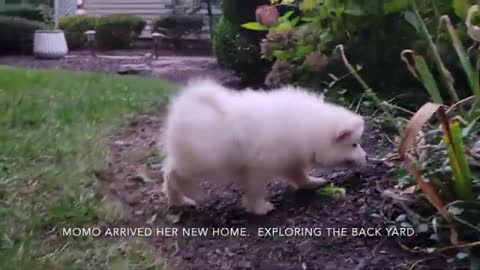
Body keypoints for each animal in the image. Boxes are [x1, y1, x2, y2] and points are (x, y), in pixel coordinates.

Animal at [159, 78, 366, 215]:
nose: (367, 157)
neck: (307, 127)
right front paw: (260, 208)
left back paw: (177, 200)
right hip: (201, 163)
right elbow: (256, 190)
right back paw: (180, 199)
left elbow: (298, 174)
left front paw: (311, 182)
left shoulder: (289, 159)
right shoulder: (258, 168)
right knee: (172, 174)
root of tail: (186, 104)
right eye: (354, 144)